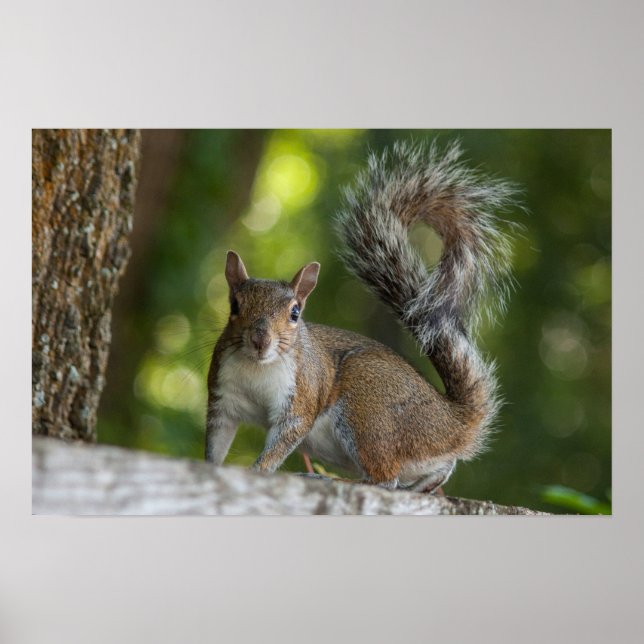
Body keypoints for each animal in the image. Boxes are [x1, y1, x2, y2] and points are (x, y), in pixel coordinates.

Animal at [205, 141, 518, 492]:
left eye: (295, 313)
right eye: (235, 306)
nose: (260, 340)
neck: (257, 368)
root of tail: (453, 423)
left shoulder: (301, 397)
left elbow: (284, 439)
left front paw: (258, 471)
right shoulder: (223, 400)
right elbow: (217, 440)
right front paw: (211, 466)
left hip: (367, 410)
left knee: (385, 480)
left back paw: (342, 480)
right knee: (434, 470)